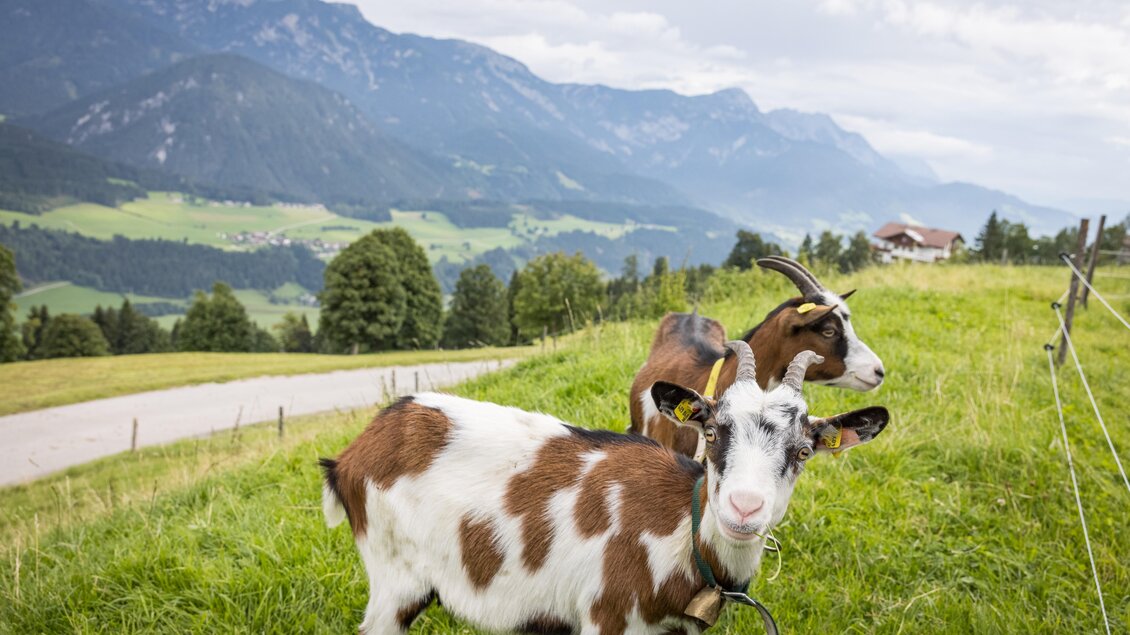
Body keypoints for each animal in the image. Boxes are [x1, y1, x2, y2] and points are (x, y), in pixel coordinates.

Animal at [321, 341, 889, 635]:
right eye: (711, 431)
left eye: (803, 451)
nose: (744, 508)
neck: (680, 531)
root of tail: (353, 453)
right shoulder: (604, 616)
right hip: (395, 578)